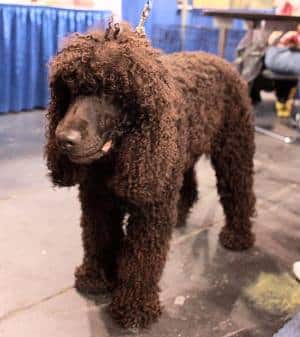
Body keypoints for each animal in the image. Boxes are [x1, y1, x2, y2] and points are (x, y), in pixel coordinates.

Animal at [45, 23, 255, 328]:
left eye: (110, 91)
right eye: (69, 89)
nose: (64, 139)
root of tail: (219, 59)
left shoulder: (150, 211)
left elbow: (142, 260)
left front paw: (135, 308)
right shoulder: (97, 202)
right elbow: (98, 238)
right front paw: (96, 278)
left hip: (233, 151)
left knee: (240, 192)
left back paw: (238, 236)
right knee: (189, 187)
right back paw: (180, 216)